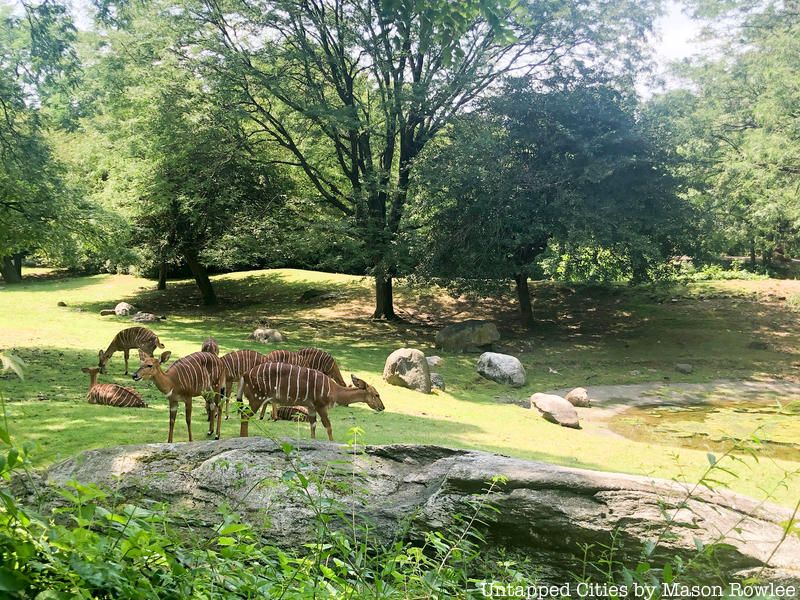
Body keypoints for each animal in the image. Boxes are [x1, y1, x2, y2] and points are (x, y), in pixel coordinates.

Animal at [234, 360, 384, 440]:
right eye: (377, 394)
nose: (382, 408)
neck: (334, 390)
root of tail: (245, 374)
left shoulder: (311, 407)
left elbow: (313, 426)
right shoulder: (320, 406)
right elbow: (328, 426)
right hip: (256, 398)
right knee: (245, 415)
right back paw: (243, 438)